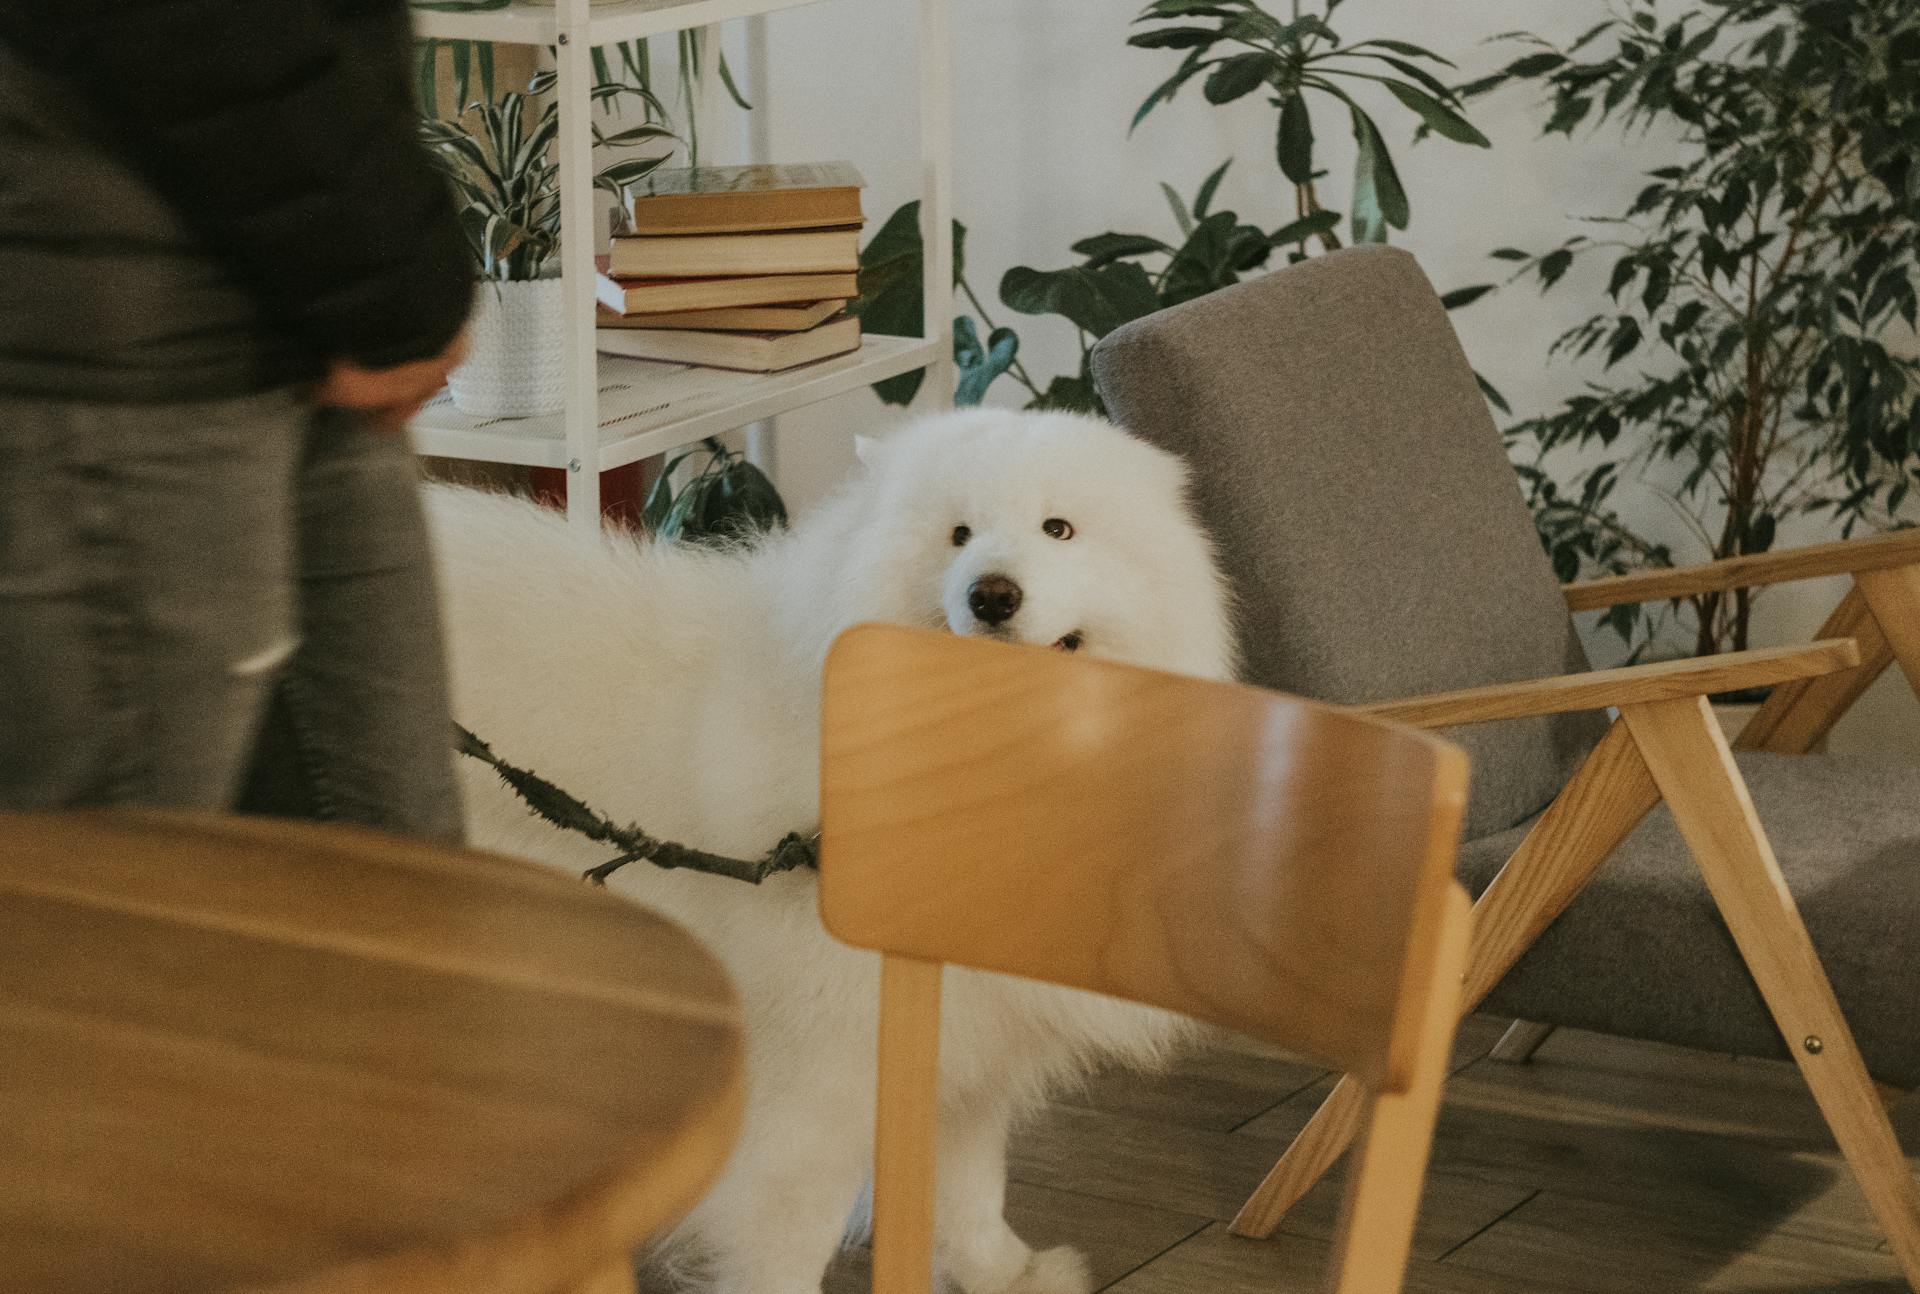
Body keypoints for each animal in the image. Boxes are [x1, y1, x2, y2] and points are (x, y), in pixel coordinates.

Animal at [430, 405, 1236, 1290]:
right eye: (957, 535)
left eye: (1058, 529)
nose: (991, 595)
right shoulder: (817, 1078)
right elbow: (795, 1231)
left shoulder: (964, 1039)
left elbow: (970, 1183)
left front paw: (1005, 1273)